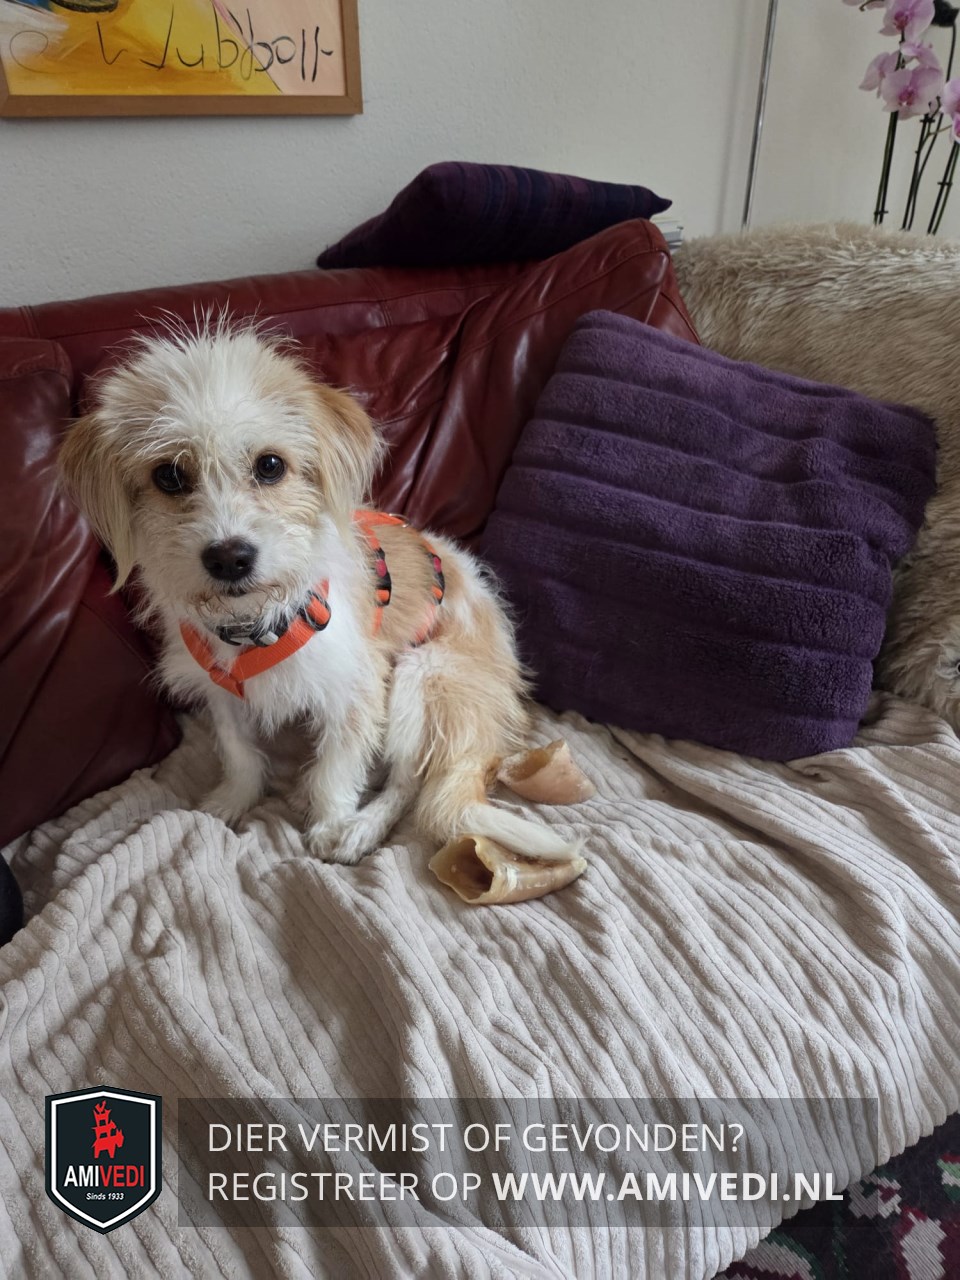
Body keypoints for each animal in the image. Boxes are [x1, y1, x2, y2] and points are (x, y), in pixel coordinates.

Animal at [59, 321, 581, 866]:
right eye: (169, 475)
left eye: (270, 465)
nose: (229, 558)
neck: (256, 623)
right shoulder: (221, 692)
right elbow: (239, 752)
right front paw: (235, 798)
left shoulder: (354, 690)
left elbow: (336, 767)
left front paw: (331, 823)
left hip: (423, 676)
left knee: (411, 784)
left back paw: (363, 827)